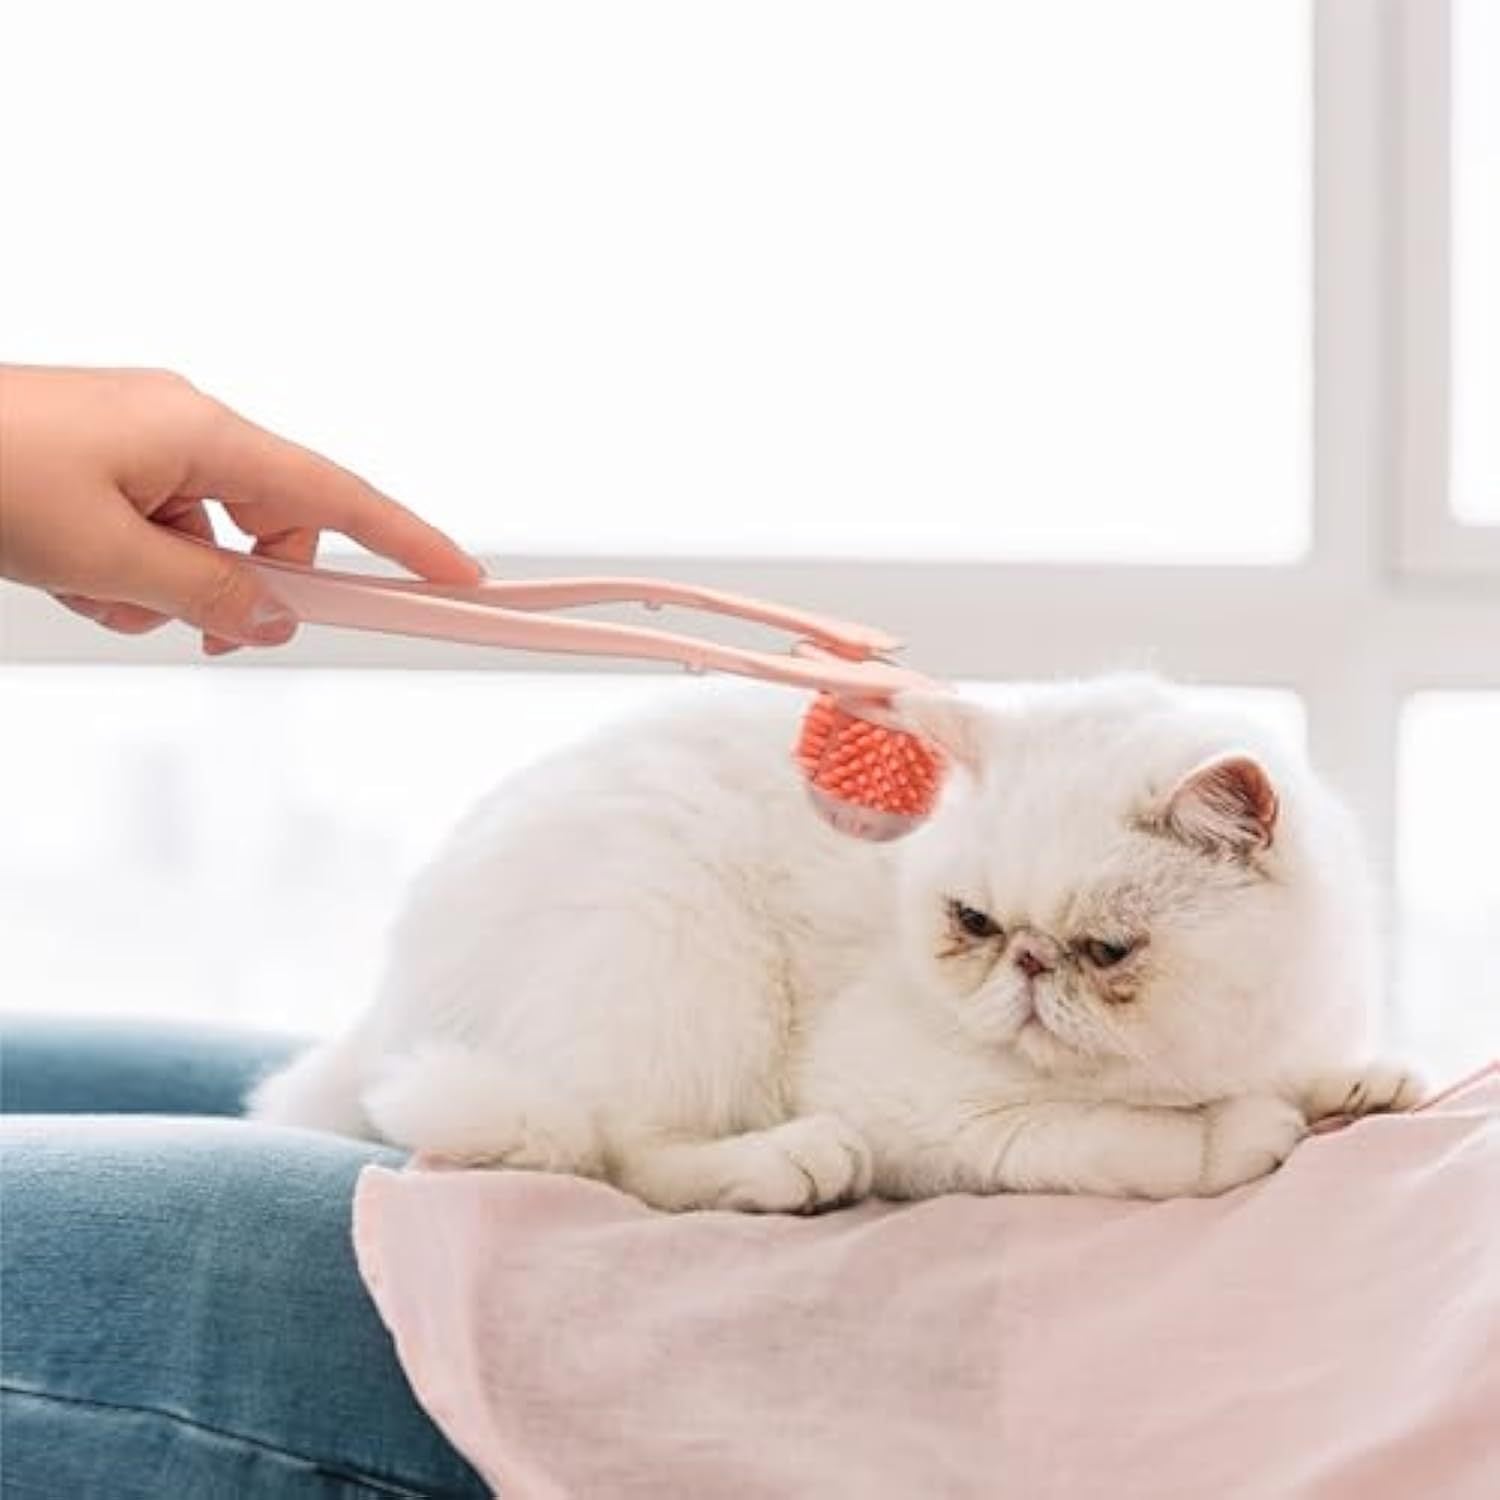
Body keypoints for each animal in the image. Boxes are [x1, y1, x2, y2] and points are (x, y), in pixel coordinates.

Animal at [246, 678, 1416, 1206]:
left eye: (1106, 951)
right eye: (974, 924)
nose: (1027, 964)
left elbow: (1319, 1069)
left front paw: (1362, 1085)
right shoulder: (913, 1101)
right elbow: (1104, 1141)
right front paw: (1238, 1132)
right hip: (676, 948)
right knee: (617, 1153)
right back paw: (790, 1167)